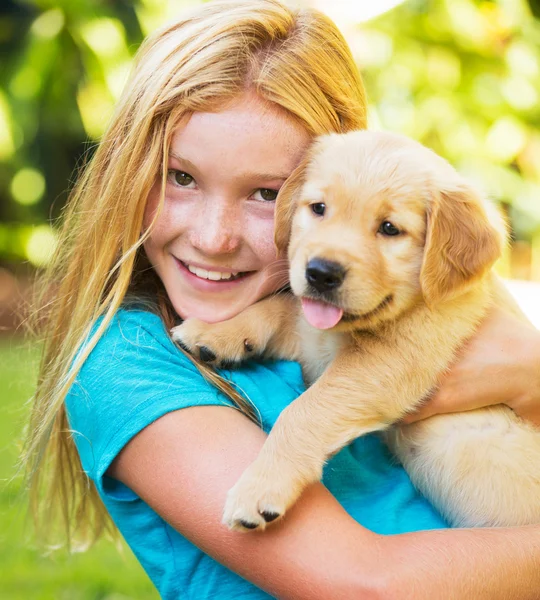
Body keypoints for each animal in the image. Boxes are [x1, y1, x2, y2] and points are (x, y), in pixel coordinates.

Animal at [172, 130, 540, 528]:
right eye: (318, 208)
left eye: (390, 229)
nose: (320, 273)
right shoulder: (315, 339)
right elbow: (280, 307)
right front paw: (214, 332)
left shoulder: (391, 359)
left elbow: (303, 411)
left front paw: (260, 487)